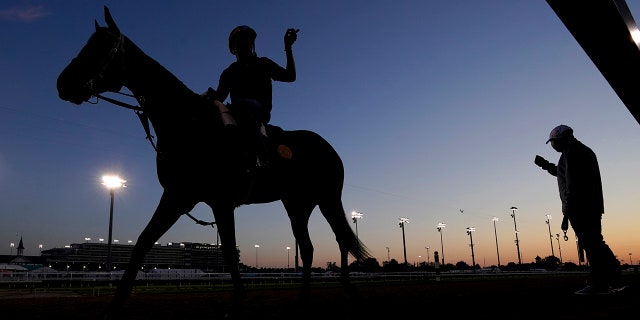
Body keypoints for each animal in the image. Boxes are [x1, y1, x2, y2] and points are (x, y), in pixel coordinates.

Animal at [57, 5, 372, 320]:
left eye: (102, 47)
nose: (63, 83)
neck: (190, 124)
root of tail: (328, 147)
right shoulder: (179, 196)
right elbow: (144, 242)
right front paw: (114, 306)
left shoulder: (217, 201)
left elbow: (229, 252)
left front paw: (237, 305)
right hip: (297, 203)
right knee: (307, 248)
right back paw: (302, 301)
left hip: (328, 197)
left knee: (341, 238)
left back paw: (350, 291)